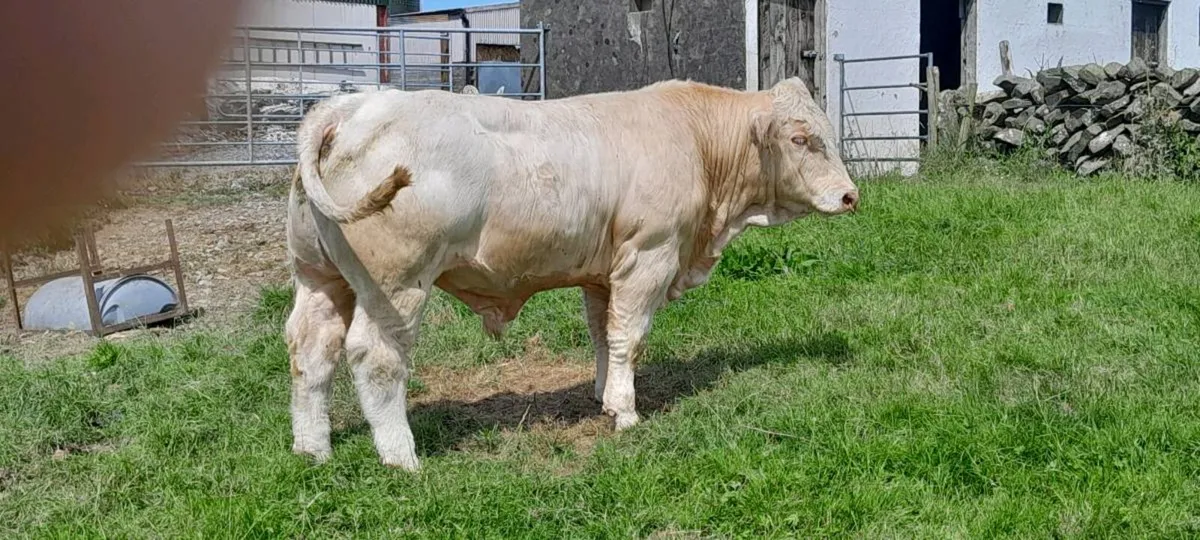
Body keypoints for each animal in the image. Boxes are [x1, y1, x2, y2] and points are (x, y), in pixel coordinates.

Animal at [285, 77, 859, 470]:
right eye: (802, 138)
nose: (851, 195)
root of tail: (352, 105)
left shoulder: (602, 275)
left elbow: (603, 334)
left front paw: (604, 395)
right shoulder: (649, 257)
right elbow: (631, 336)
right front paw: (626, 412)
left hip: (319, 276)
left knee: (311, 350)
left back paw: (312, 448)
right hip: (397, 284)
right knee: (376, 358)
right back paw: (401, 456)